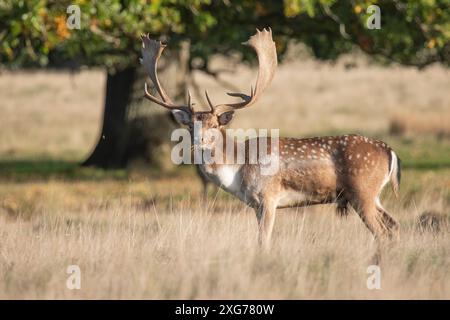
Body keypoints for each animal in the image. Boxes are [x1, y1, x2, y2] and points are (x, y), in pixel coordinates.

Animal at [140, 28, 400, 248]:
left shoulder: (268, 196)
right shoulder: (256, 205)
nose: (198, 141)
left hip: (362, 190)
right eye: (190, 126)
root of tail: (390, 152)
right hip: (373, 195)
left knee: (382, 231)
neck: (237, 171)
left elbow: (263, 241)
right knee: (394, 226)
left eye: (214, 124)